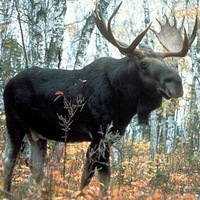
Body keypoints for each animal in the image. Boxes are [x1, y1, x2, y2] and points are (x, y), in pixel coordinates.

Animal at [2, 1, 198, 197]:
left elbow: (95, 177)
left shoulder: (110, 136)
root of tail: (7, 84)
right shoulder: (99, 134)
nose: (177, 83)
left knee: (36, 169)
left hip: (37, 135)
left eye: (164, 63)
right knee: (9, 160)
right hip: (15, 123)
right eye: (143, 64)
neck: (125, 102)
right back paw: (7, 192)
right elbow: (96, 178)